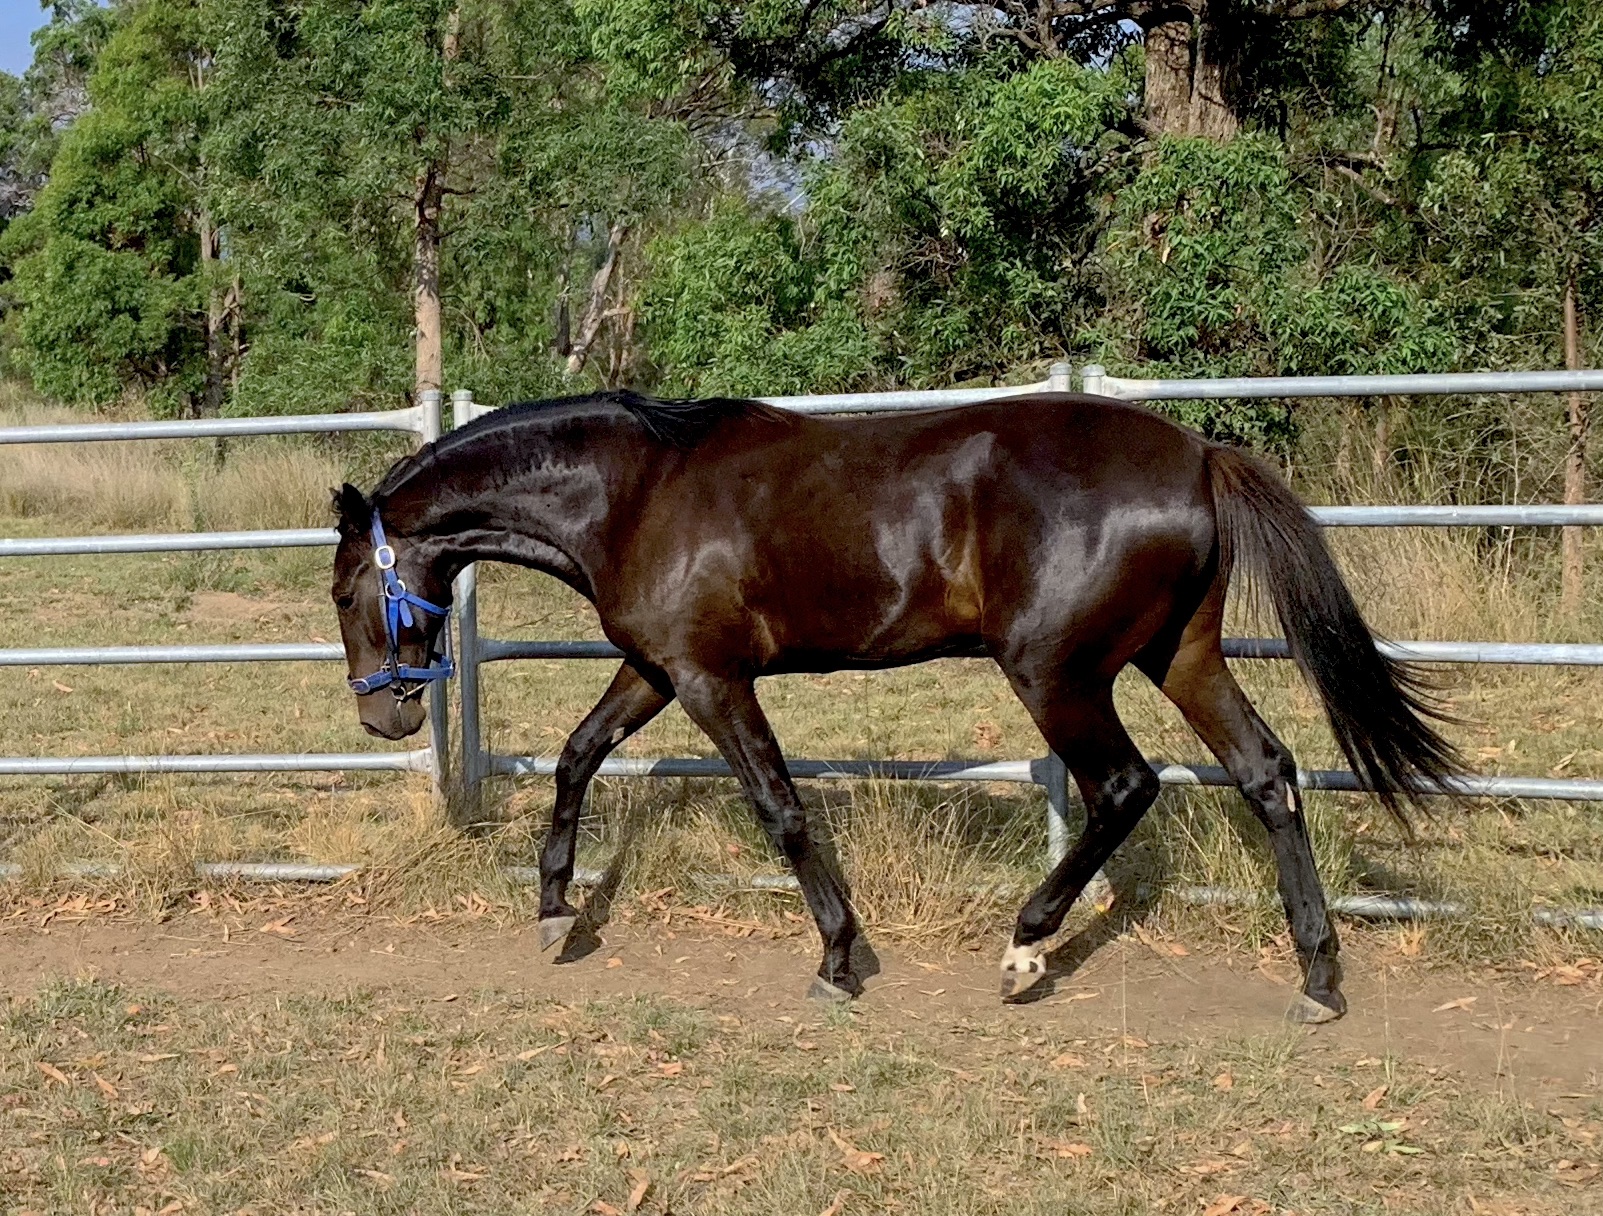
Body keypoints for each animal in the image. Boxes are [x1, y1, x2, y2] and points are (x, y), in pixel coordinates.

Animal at [330, 389, 1462, 1020]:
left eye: (343, 591)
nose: (384, 716)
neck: (639, 492)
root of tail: (1196, 455)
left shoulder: (709, 679)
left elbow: (781, 809)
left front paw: (838, 960)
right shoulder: (656, 669)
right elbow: (575, 755)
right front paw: (555, 912)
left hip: (1056, 673)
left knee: (1122, 787)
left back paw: (1024, 949)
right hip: (1178, 655)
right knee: (1266, 773)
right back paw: (1317, 977)